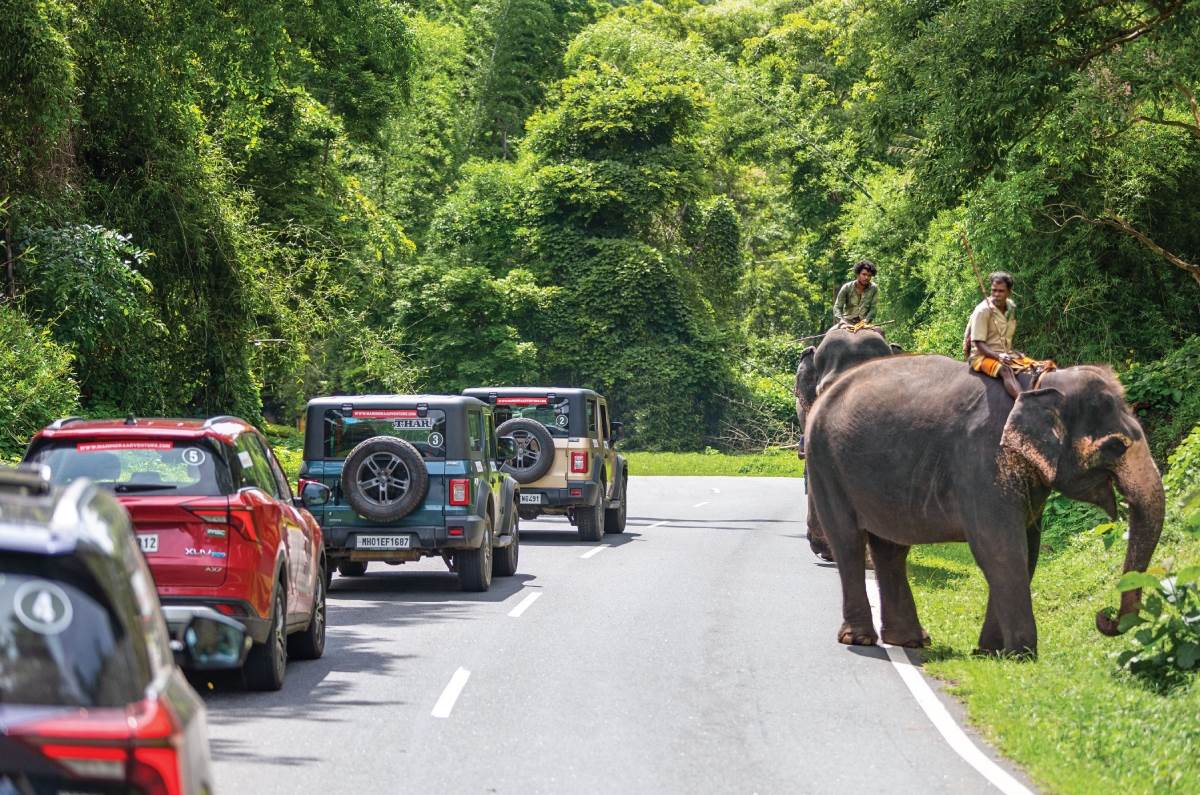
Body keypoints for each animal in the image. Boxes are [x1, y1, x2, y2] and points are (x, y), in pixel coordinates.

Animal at [805, 355, 1164, 657]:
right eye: (1116, 446)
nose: (1105, 617)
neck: (1036, 384)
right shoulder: (982, 461)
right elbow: (1001, 548)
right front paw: (1022, 655)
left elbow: (1027, 549)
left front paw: (990, 652)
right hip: (824, 462)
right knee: (848, 541)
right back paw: (861, 639)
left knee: (891, 548)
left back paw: (911, 641)